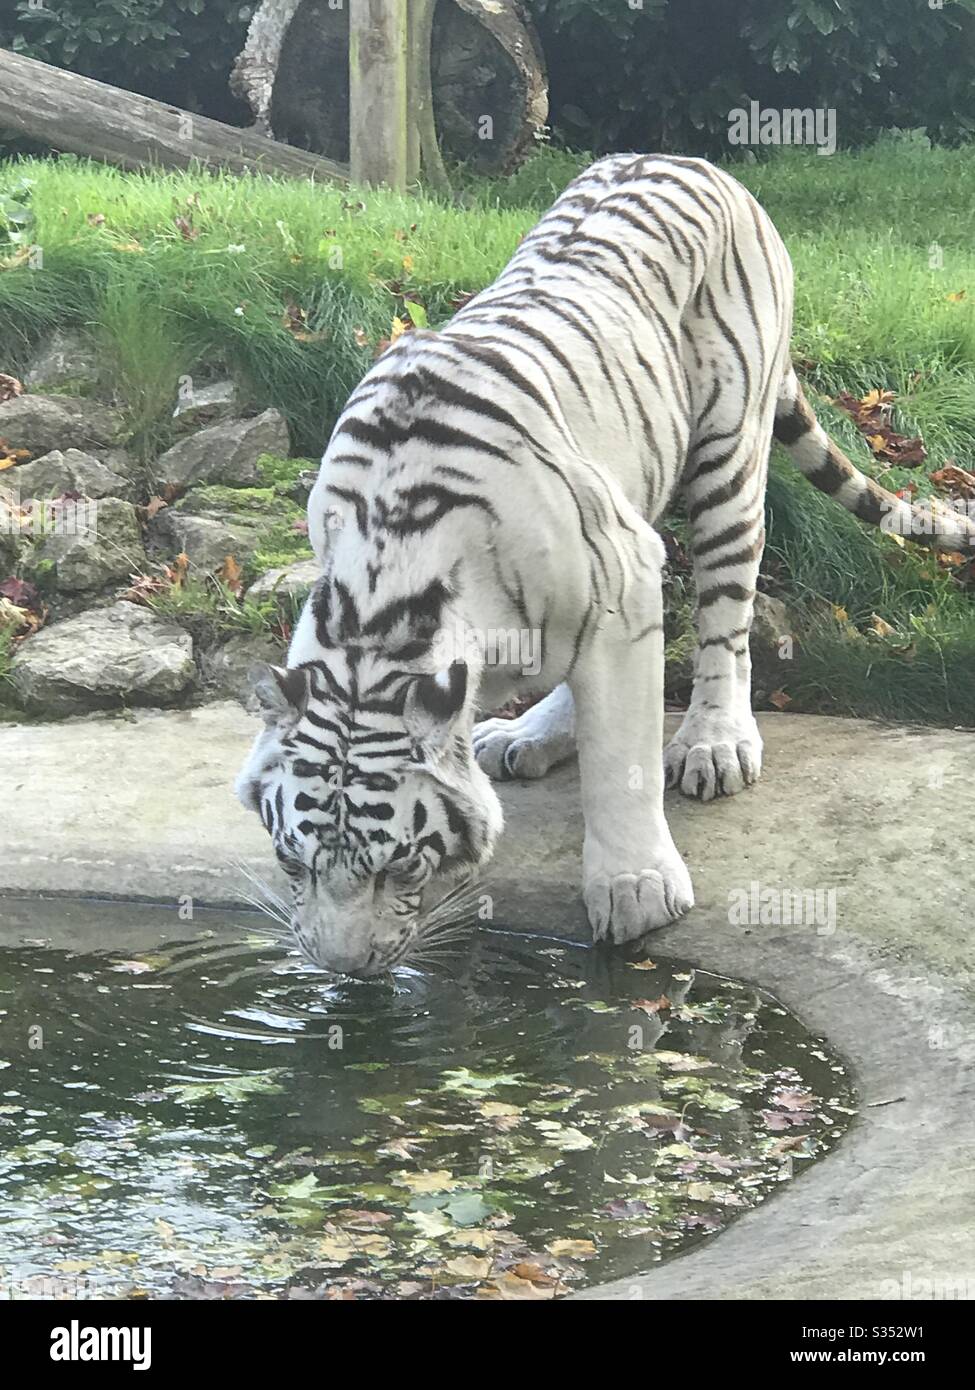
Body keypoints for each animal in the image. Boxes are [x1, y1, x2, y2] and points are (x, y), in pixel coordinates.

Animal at [237, 154, 973, 978]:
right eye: (292, 861)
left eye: (401, 864)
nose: (345, 971)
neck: (380, 595)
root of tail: (696, 163)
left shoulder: (623, 584)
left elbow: (621, 757)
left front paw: (634, 888)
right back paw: (527, 735)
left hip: (725, 459)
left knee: (725, 621)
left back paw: (715, 740)